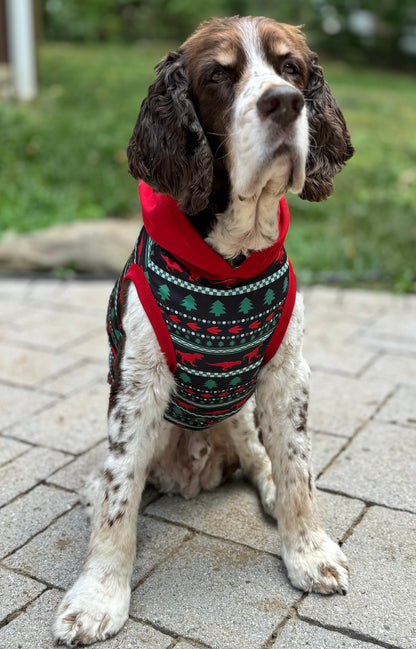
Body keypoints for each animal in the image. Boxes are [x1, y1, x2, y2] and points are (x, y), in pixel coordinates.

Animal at [54, 13, 354, 644]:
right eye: (218, 75)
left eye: (291, 67)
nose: (285, 102)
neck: (231, 257)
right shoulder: (136, 387)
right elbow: (118, 498)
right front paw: (98, 597)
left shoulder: (287, 374)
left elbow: (297, 468)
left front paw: (309, 553)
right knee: (109, 484)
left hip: (237, 416)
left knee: (262, 459)